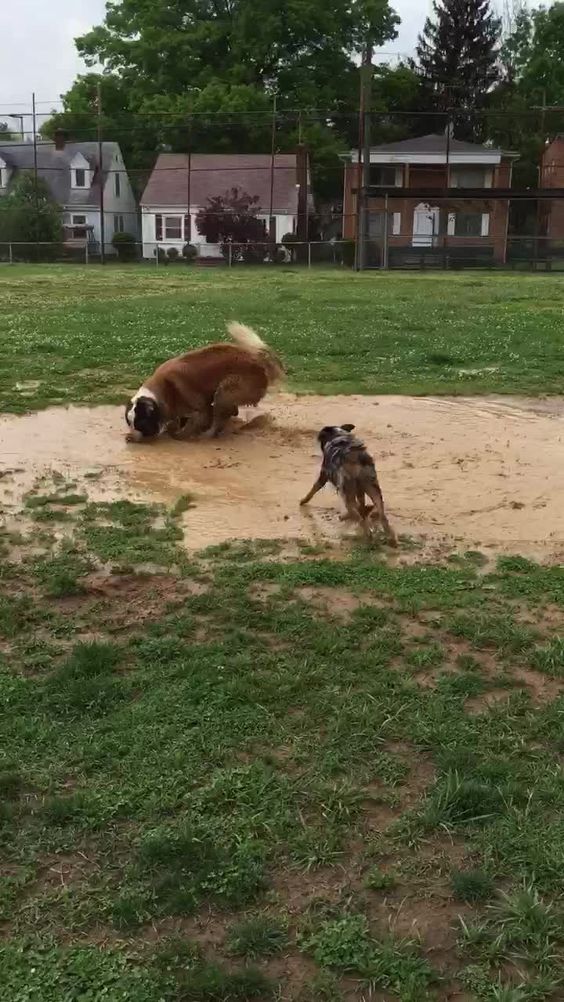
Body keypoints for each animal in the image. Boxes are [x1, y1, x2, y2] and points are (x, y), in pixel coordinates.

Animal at [123, 324, 282, 442]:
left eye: (140, 424)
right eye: (129, 422)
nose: (130, 437)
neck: (165, 389)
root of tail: (259, 360)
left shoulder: (200, 408)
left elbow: (194, 422)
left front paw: (180, 434)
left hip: (225, 390)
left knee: (220, 416)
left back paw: (208, 435)